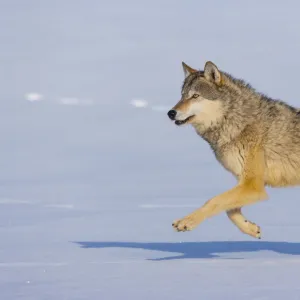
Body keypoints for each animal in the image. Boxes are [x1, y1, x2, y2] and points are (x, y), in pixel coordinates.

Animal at [168, 61, 300, 239]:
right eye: (182, 96)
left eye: (195, 96)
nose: (170, 113)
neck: (238, 120)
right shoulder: (243, 183)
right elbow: (229, 211)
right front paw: (250, 228)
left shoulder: (253, 185)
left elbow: (213, 201)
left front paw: (186, 222)